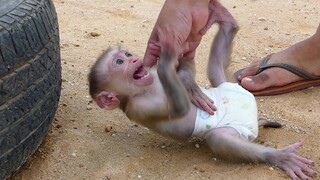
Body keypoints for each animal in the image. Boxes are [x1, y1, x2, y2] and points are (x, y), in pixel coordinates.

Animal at [88, 21, 318, 180]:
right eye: (119, 62)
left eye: (127, 54)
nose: (135, 59)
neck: (145, 86)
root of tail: (252, 116)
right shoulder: (139, 107)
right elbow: (179, 109)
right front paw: (169, 57)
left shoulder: (151, 73)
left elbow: (183, 72)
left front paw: (182, 73)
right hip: (239, 129)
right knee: (219, 138)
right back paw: (278, 156)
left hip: (228, 84)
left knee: (216, 69)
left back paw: (227, 22)